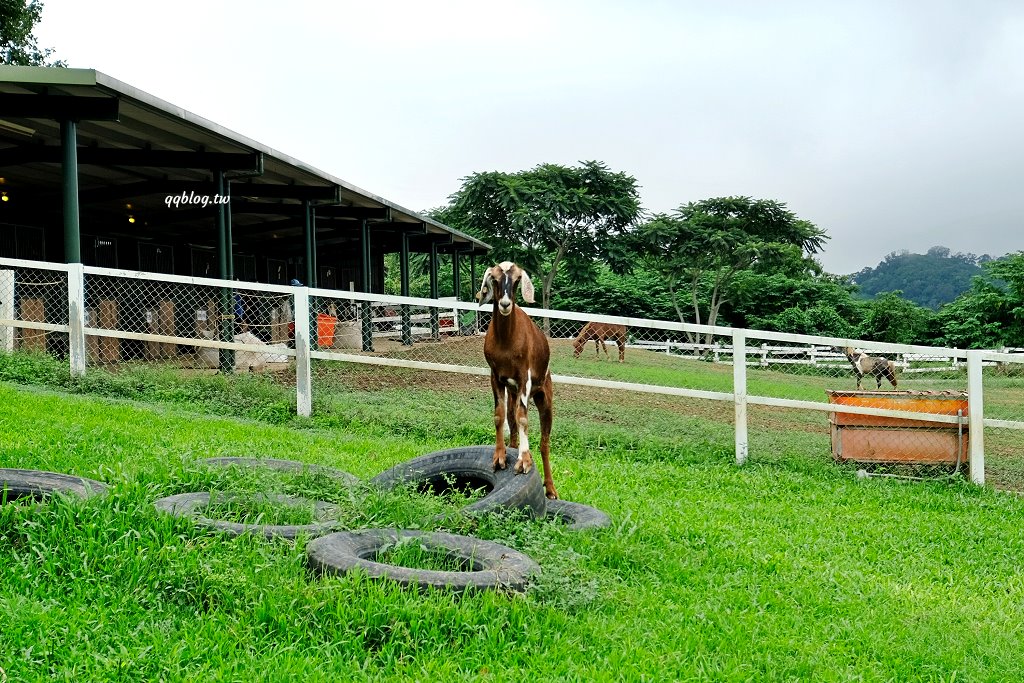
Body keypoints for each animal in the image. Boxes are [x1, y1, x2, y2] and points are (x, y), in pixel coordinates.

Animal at [476, 261, 558, 500]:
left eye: (516, 280)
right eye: (494, 279)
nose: (505, 304)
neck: (506, 341)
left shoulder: (524, 378)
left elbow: (523, 419)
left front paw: (524, 460)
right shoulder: (495, 376)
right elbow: (499, 415)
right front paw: (499, 457)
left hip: (544, 396)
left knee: (544, 442)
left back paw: (550, 489)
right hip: (511, 393)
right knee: (511, 423)